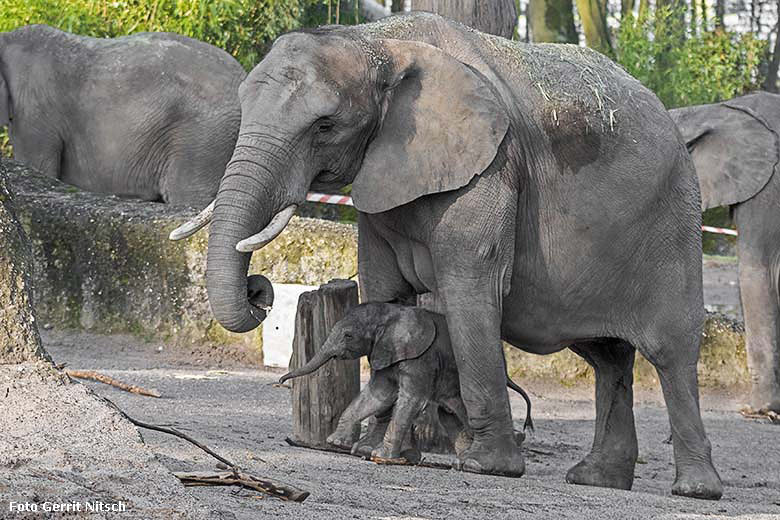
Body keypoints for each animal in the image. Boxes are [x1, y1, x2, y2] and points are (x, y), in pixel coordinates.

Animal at [278, 302, 532, 462]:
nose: (281, 380)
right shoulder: (386, 351)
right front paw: (335, 442)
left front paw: (380, 456)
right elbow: (377, 394)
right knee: (449, 415)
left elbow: (410, 399)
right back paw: (463, 461)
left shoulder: (421, 358)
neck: (391, 313)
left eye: (348, 336)